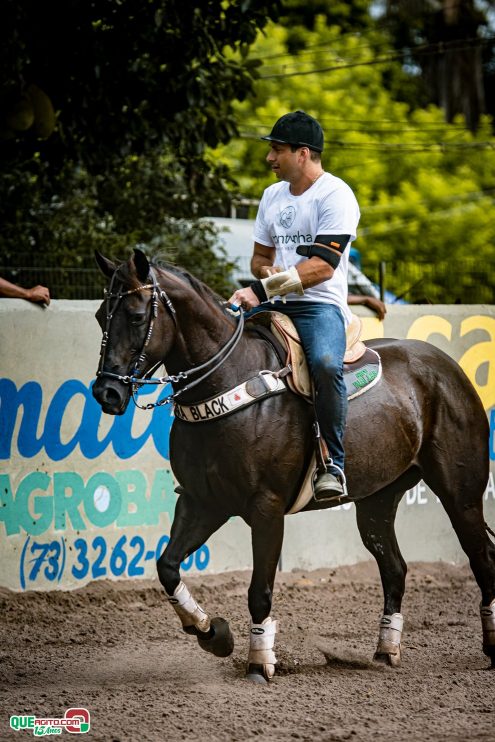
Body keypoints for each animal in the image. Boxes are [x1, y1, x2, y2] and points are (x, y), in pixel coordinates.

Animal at [92, 251, 495, 684]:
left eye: (136, 316)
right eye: (100, 315)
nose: (106, 392)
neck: (228, 382)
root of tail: (448, 369)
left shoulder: (266, 509)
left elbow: (259, 590)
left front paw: (258, 663)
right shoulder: (202, 502)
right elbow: (167, 566)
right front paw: (212, 633)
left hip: (461, 494)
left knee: (482, 558)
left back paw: (490, 647)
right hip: (377, 503)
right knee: (395, 569)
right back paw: (386, 651)